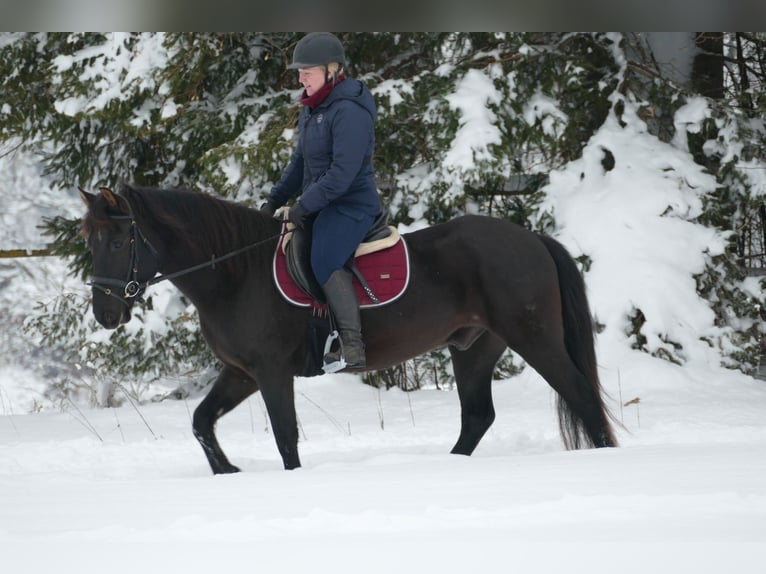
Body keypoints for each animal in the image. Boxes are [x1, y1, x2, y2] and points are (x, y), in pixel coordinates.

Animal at [79, 186, 616, 476]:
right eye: (90, 239)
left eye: (119, 238)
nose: (105, 312)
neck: (237, 272)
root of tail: (532, 239)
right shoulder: (242, 374)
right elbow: (201, 422)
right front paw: (228, 472)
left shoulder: (271, 373)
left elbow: (285, 438)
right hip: (475, 348)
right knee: (478, 417)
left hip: (533, 338)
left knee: (580, 394)